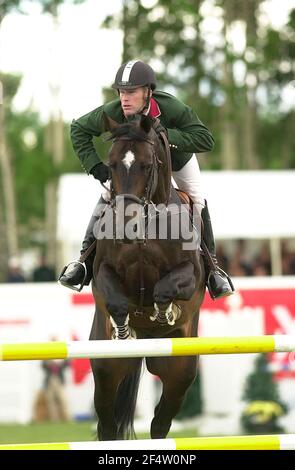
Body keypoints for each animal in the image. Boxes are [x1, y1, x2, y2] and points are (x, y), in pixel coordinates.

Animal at [90, 114, 206, 440]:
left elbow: (165, 289)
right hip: (106, 370)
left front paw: (166, 312)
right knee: (107, 423)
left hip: (180, 370)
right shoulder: (102, 273)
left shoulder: (191, 275)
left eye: (146, 165)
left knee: (160, 422)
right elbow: (116, 302)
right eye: (111, 164)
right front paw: (124, 329)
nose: (124, 223)